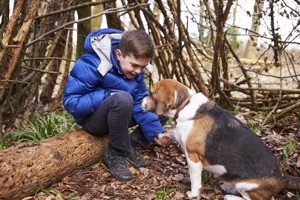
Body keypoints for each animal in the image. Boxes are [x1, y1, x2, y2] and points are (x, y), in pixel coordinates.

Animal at [141, 79, 300, 200]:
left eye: (150, 93)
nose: (140, 101)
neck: (185, 104)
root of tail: (283, 177)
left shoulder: (193, 157)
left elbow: (195, 181)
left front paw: (193, 194)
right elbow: (174, 133)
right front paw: (161, 136)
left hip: (245, 185)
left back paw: (230, 196)